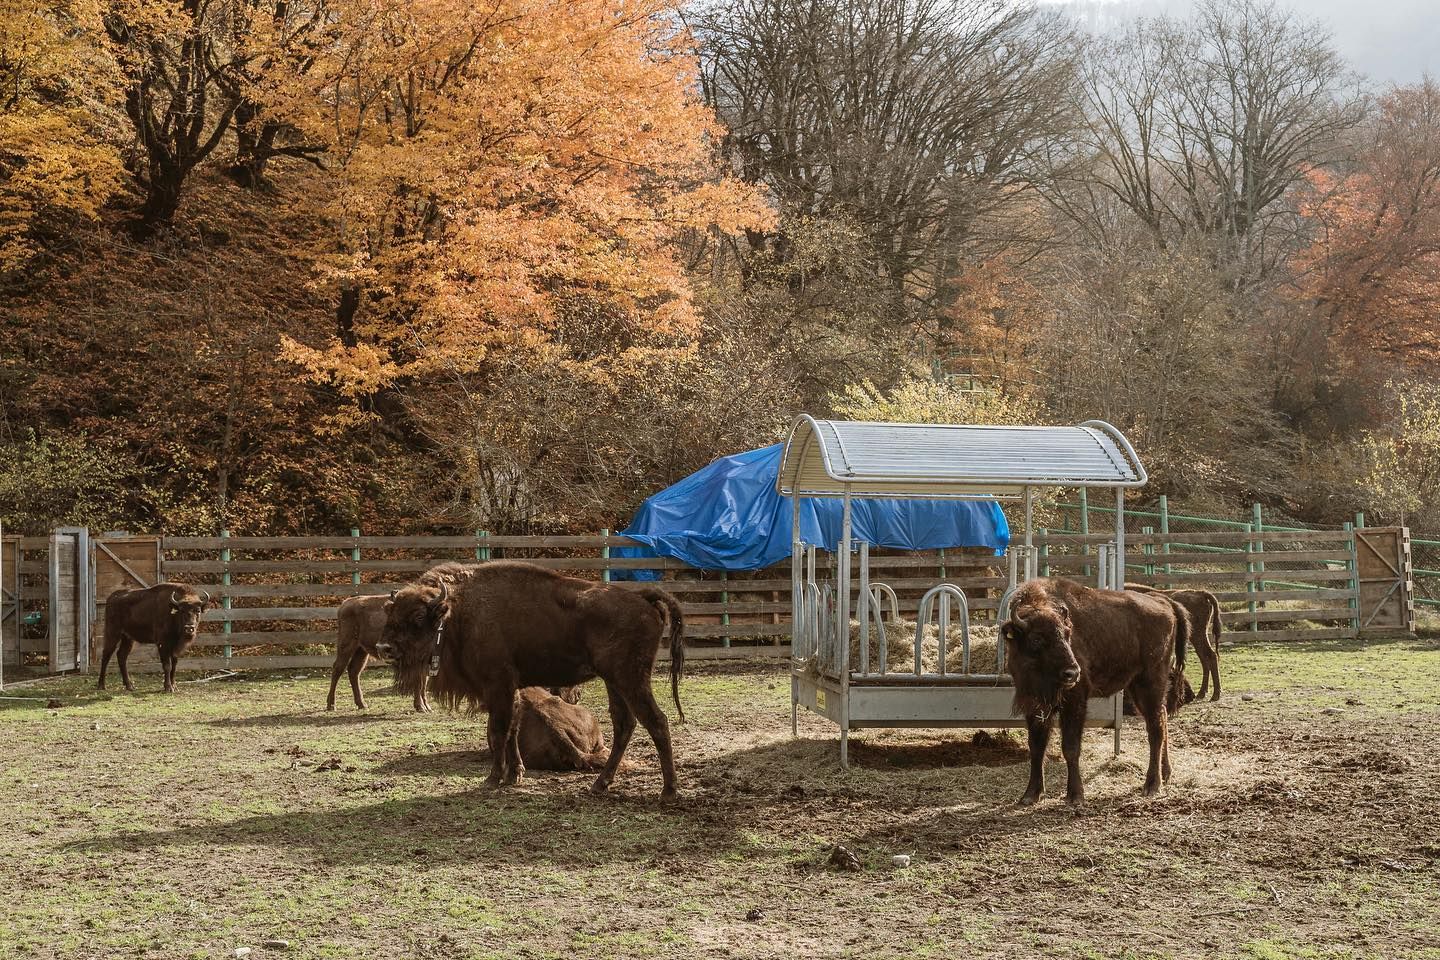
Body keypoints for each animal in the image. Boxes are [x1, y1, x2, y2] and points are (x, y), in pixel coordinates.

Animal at [374, 558, 682, 800]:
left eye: (417, 616)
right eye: (389, 612)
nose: (384, 647)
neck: (457, 612)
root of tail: (642, 598)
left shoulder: (497, 686)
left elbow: (499, 730)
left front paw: (492, 779)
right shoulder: (510, 690)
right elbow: (511, 730)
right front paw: (514, 776)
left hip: (630, 678)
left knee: (656, 721)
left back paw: (668, 791)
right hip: (614, 681)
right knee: (624, 724)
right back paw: (600, 785)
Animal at [1002, 575, 1192, 805]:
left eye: (1068, 634)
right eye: (1036, 638)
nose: (1072, 673)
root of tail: (1165, 602)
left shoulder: (1074, 702)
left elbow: (1071, 748)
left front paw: (1075, 795)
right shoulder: (1035, 706)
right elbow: (1036, 747)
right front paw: (1030, 794)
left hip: (1150, 682)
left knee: (1155, 728)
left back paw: (1152, 785)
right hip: (1137, 687)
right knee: (1162, 718)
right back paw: (1165, 773)